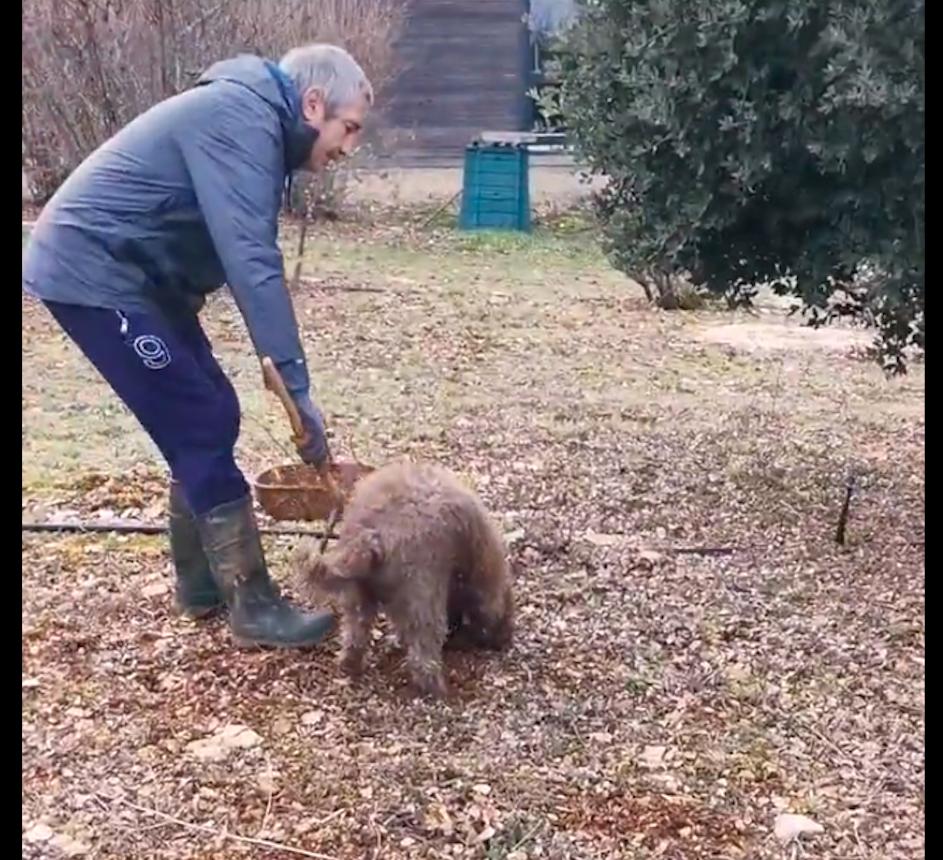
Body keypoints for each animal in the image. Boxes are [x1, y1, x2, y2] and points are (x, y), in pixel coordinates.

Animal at [296, 460, 516, 696]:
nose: (505, 641)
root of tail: (371, 536)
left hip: (359, 594)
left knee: (355, 633)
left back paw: (349, 664)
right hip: (423, 595)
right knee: (423, 649)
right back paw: (436, 689)